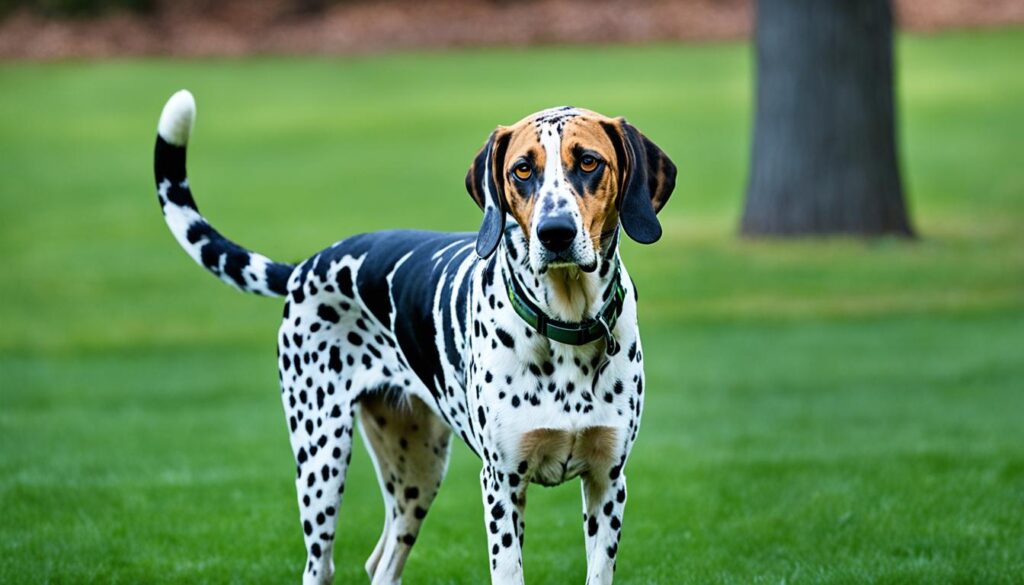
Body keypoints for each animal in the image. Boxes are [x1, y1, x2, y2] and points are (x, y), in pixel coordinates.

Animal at [151, 91, 675, 585]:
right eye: (523, 169)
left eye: (588, 161)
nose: (555, 232)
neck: (565, 326)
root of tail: (308, 264)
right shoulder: (502, 484)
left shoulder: (609, 481)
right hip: (321, 460)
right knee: (319, 566)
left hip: (417, 469)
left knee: (383, 564)